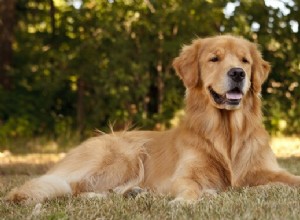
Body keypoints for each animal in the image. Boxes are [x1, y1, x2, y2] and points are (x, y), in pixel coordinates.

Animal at [5, 35, 300, 204]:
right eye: (214, 58)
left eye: (245, 60)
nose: (238, 73)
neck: (226, 133)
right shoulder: (183, 176)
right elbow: (190, 189)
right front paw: (185, 202)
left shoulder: (268, 170)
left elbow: (291, 179)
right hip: (123, 154)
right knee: (70, 187)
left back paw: (132, 193)